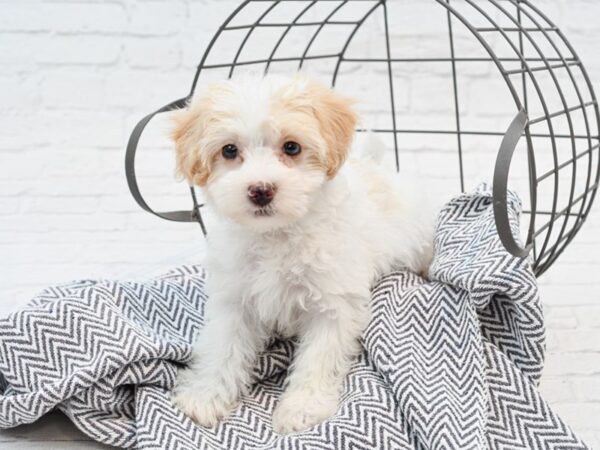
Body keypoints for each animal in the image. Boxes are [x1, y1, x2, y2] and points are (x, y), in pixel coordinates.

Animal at [171, 74, 434, 436]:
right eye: (229, 150)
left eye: (292, 147)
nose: (260, 190)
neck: (277, 235)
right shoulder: (234, 298)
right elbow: (222, 346)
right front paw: (206, 395)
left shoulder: (334, 303)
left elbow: (318, 358)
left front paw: (302, 408)